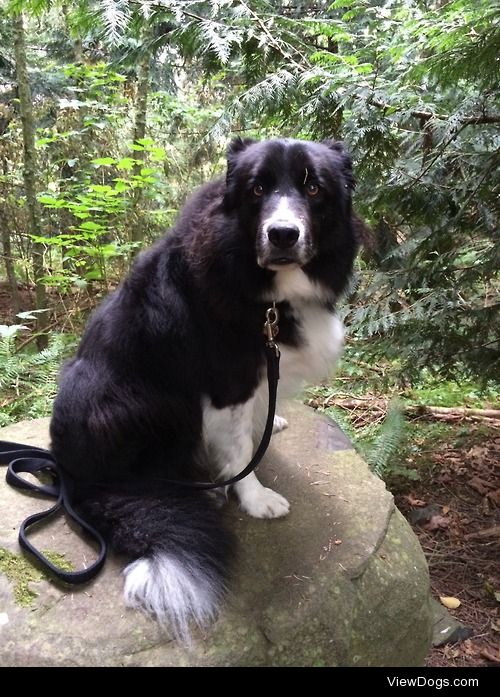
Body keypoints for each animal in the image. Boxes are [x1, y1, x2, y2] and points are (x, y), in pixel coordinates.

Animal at [50, 137, 362, 640]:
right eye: (257, 189)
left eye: (314, 188)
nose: (282, 235)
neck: (268, 293)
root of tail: (72, 473)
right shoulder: (227, 380)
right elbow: (237, 448)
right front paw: (254, 498)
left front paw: (270, 422)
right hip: (140, 399)